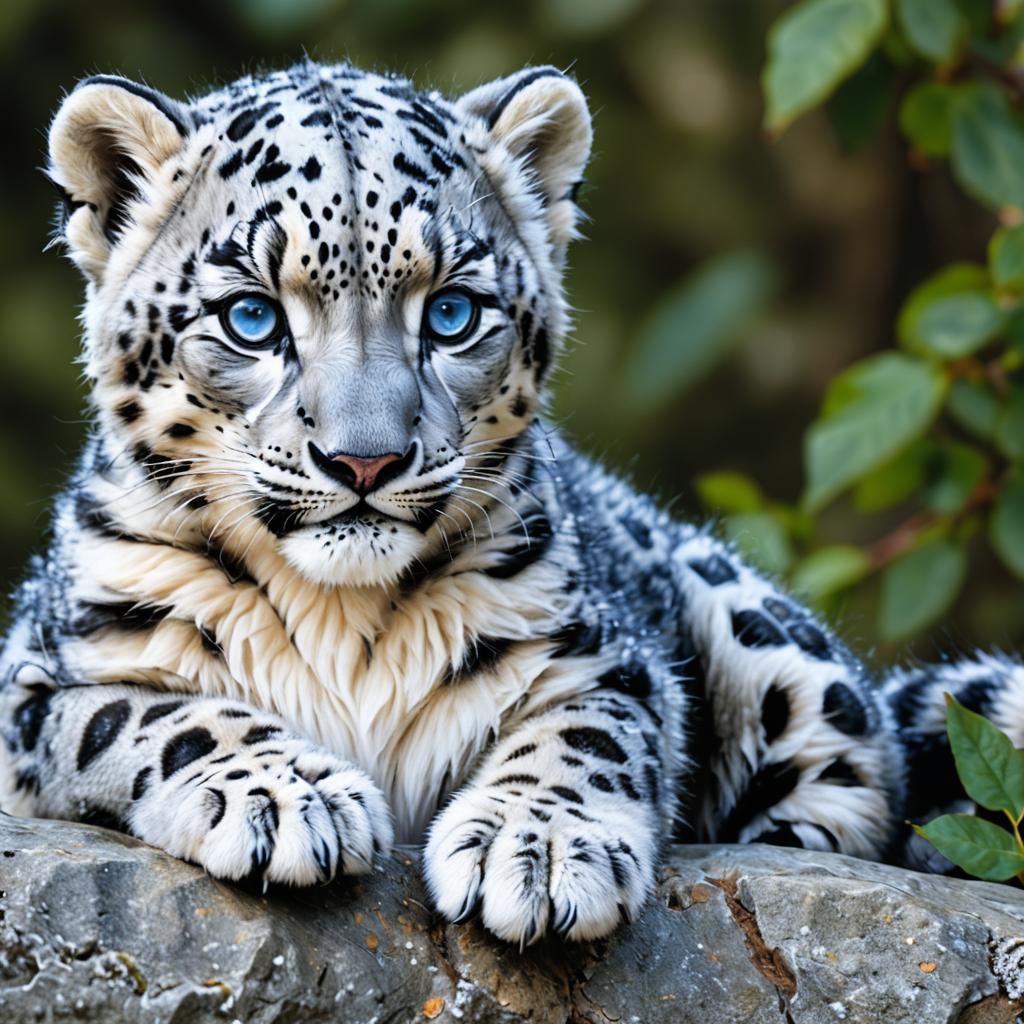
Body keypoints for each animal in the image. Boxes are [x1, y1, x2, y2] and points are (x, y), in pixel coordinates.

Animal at [0, 58, 1011, 946]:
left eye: (452, 313)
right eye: (251, 317)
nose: (364, 460)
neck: (337, 616)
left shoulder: (600, 653)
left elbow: (585, 734)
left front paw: (540, 848)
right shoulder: (36, 681)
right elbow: (139, 713)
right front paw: (286, 797)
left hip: (764, 639)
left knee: (857, 771)